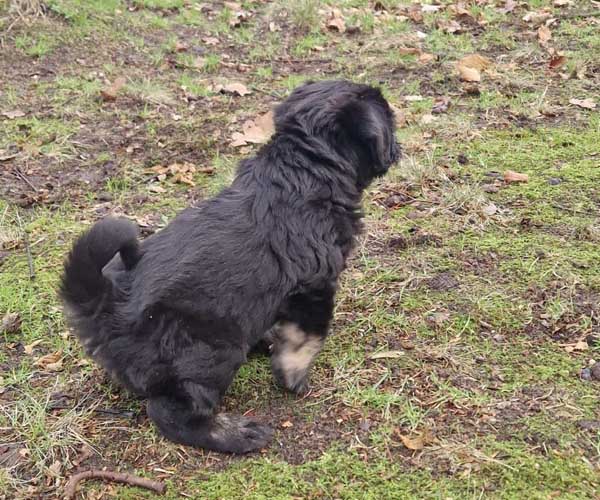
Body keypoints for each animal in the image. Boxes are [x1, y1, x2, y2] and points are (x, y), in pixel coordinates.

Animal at [60, 80, 400, 453]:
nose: (398, 145)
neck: (304, 168)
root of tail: (104, 304)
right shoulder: (315, 285)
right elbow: (308, 337)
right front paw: (293, 376)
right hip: (211, 352)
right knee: (170, 412)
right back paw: (235, 434)